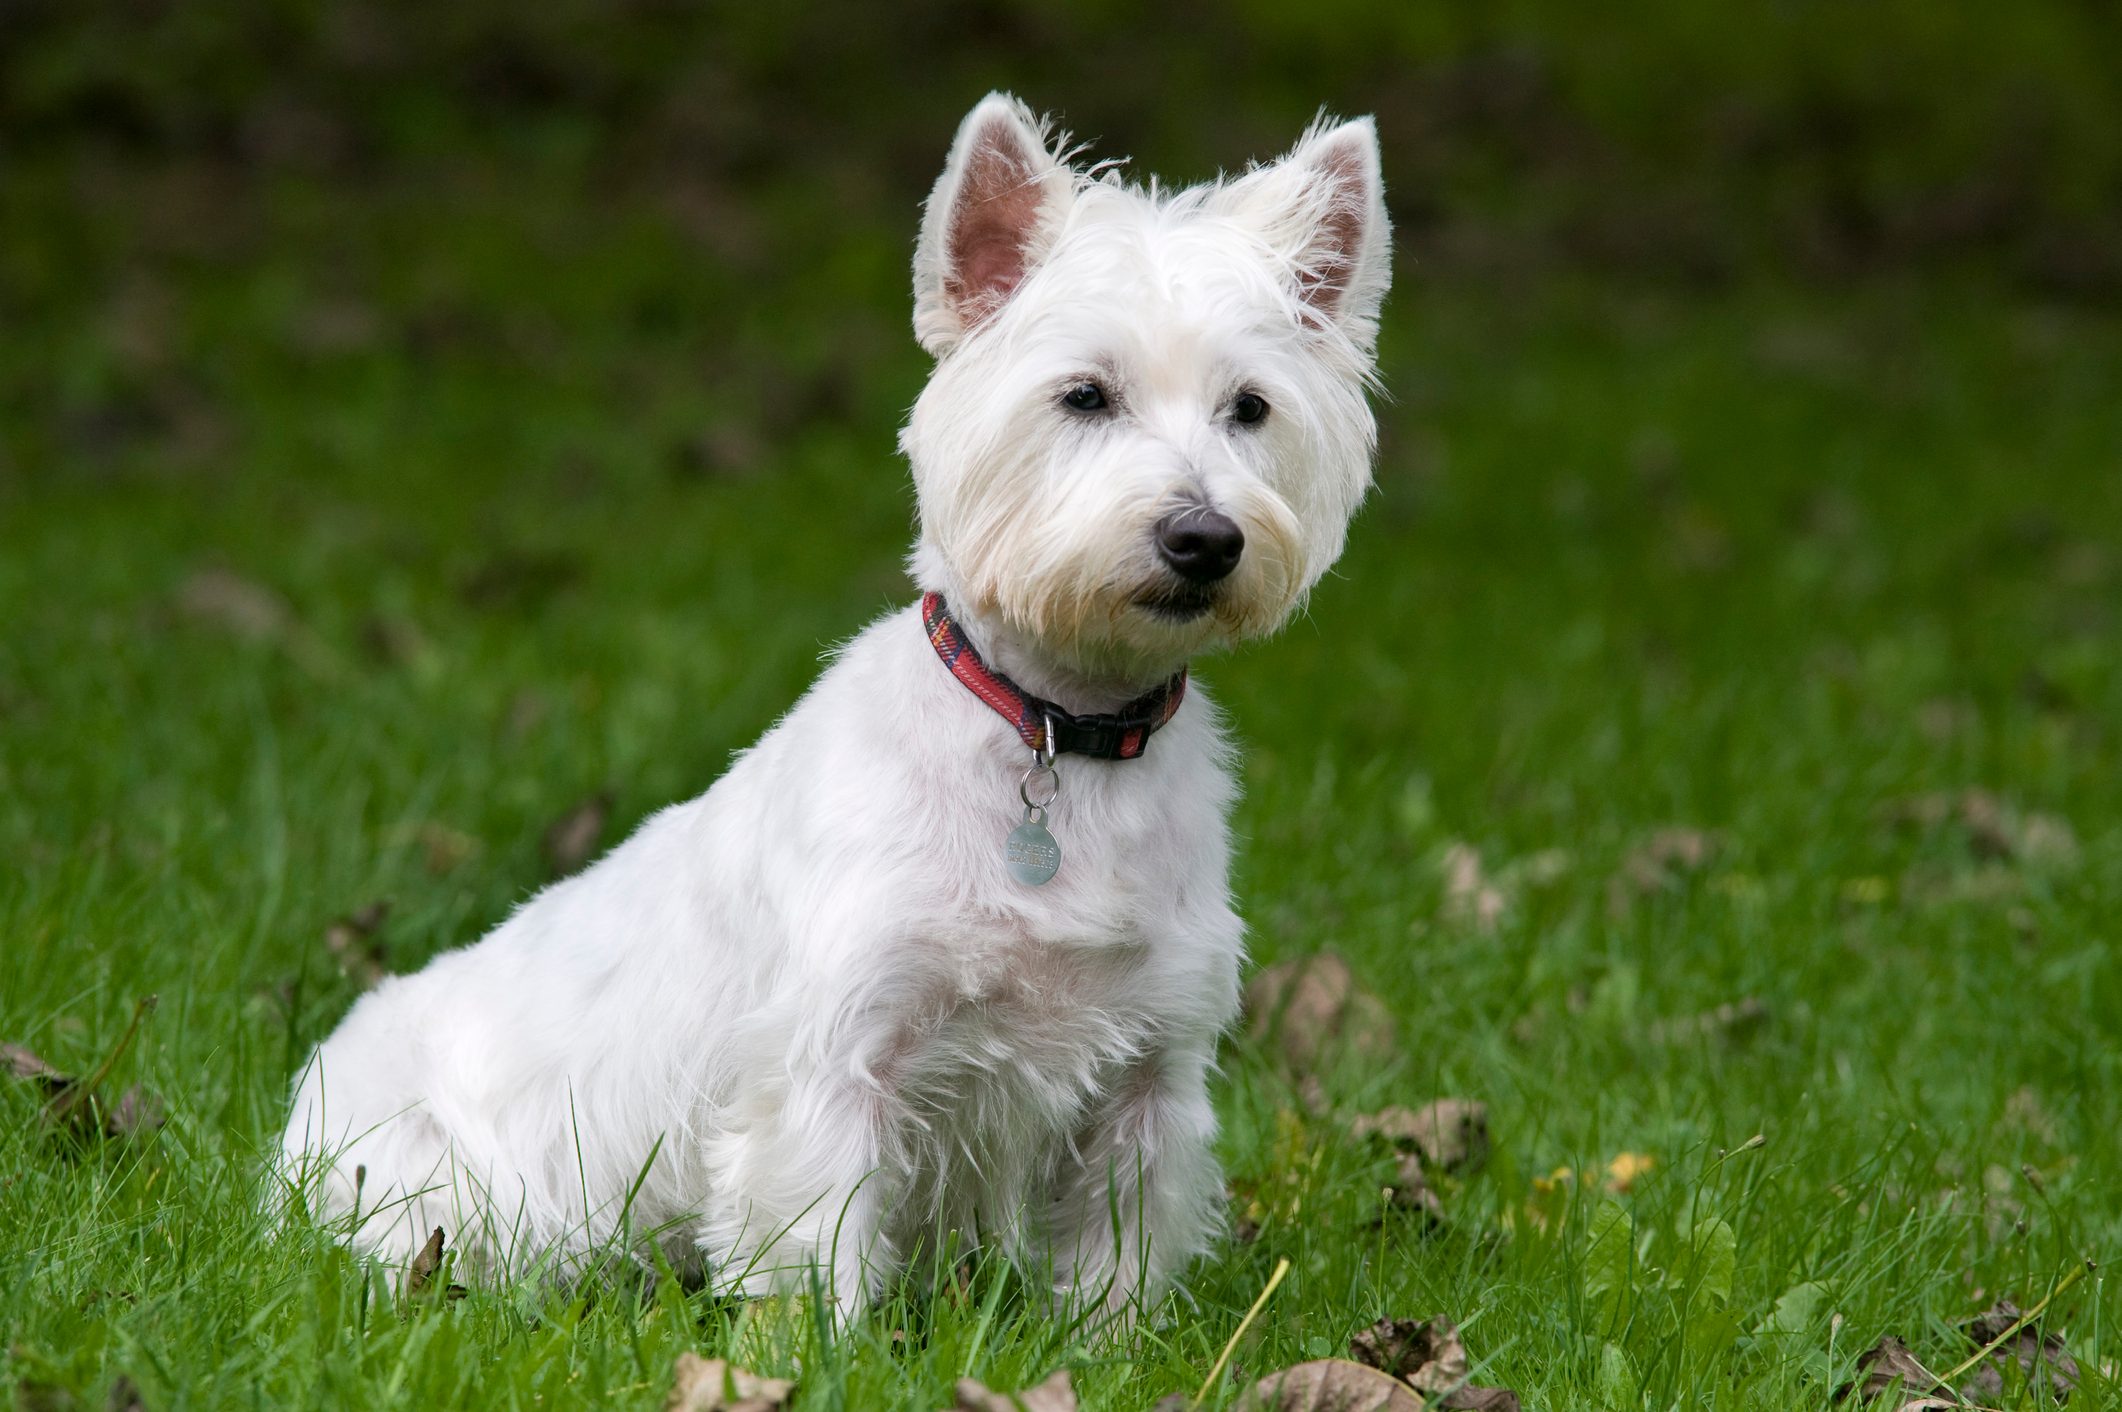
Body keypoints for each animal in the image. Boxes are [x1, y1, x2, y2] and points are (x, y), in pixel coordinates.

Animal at [282, 93, 1392, 1316]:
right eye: (1084, 395)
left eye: (1251, 408)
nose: (1204, 538)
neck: (1060, 730)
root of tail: (296, 1116)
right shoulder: (832, 1060)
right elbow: (817, 1250)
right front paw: (814, 1342)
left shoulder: (1150, 1070)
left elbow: (1118, 1258)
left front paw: (1107, 1340)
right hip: (428, 1178)